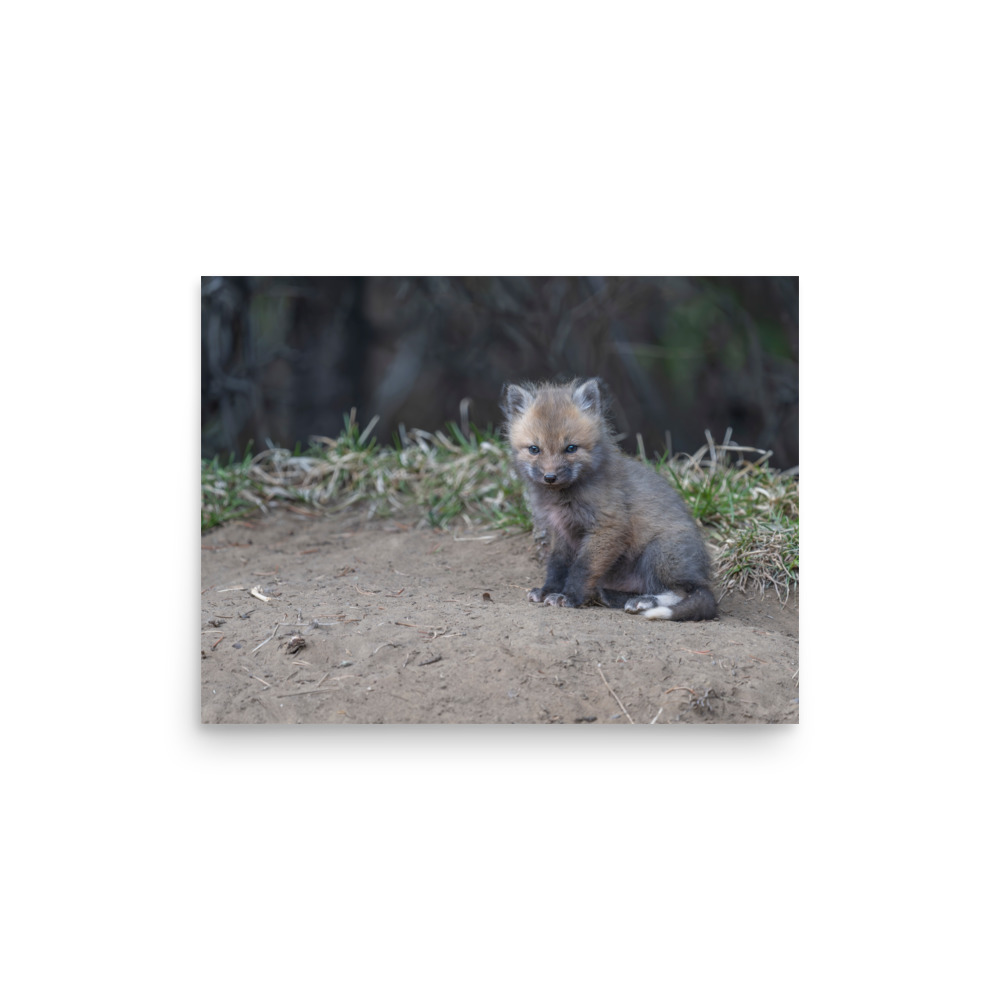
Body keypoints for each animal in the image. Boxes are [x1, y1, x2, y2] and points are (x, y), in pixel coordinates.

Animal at [500, 377, 717, 621]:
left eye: (571, 448)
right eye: (534, 449)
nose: (550, 477)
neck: (562, 498)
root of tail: (702, 575)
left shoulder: (608, 526)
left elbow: (582, 568)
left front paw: (569, 597)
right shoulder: (561, 532)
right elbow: (557, 565)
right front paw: (548, 590)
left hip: (659, 553)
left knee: (682, 591)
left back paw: (644, 602)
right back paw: (611, 596)